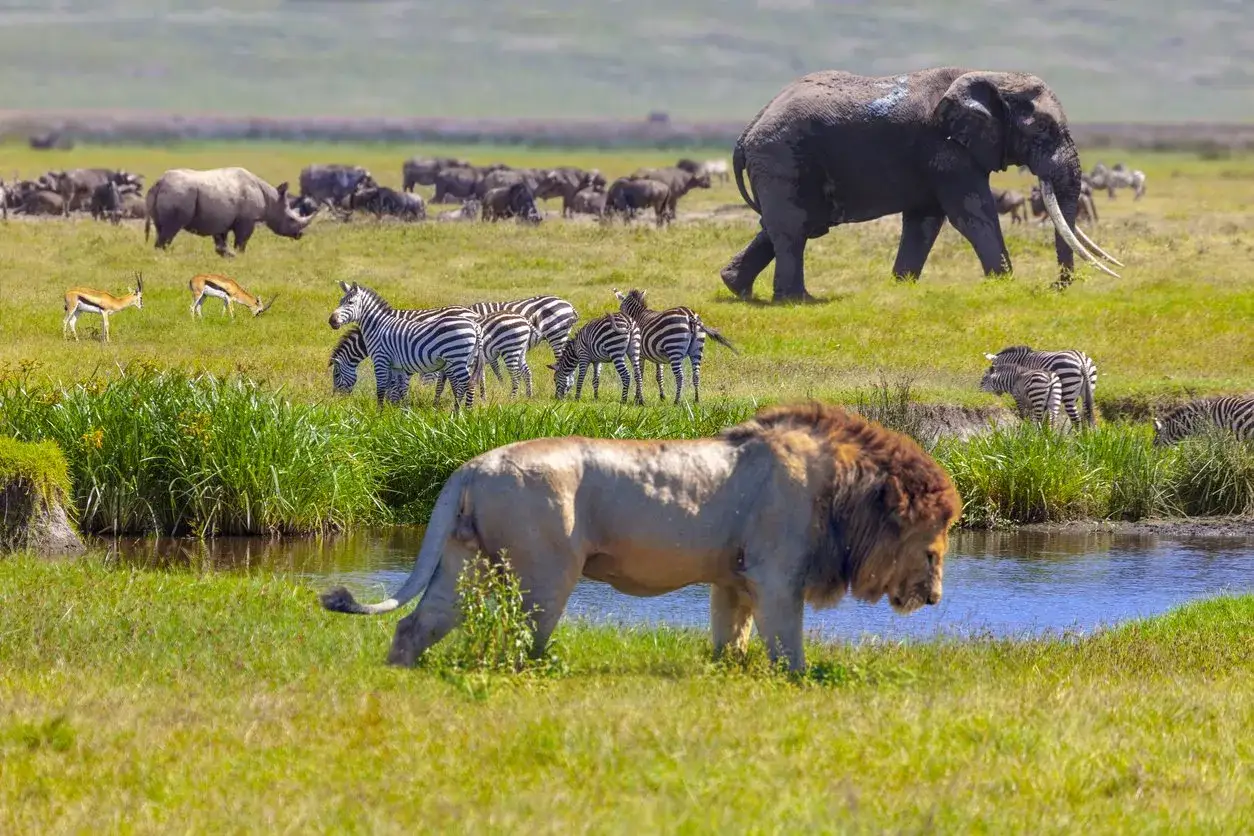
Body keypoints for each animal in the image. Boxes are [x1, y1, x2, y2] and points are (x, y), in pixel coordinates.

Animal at [145, 167, 315, 257]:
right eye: (291, 219)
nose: (300, 235)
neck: (271, 199)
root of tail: (160, 182)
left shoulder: (221, 218)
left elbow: (221, 242)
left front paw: (228, 256)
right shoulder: (247, 220)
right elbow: (242, 241)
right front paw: (239, 255)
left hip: (169, 192)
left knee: (160, 228)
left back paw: (159, 255)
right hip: (179, 193)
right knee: (171, 229)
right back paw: (165, 256)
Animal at [720, 67, 1122, 302]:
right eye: (1043, 129)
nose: (1056, 286)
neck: (992, 77)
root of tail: (746, 132)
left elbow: (925, 221)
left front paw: (900, 287)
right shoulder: (946, 149)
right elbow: (972, 213)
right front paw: (1004, 285)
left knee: (785, 226)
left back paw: (736, 287)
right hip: (782, 156)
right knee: (793, 229)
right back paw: (797, 301)